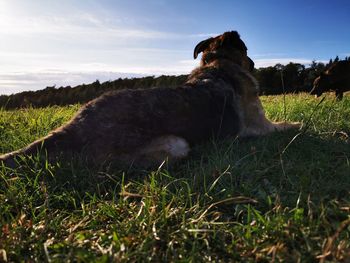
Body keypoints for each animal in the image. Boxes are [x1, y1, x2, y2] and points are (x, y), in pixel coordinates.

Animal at [0, 30, 300, 167]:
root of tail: (73, 127)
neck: (219, 64)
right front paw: (299, 125)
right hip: (175, 144)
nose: (253, 64)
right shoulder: (261, 126)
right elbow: (288, 125)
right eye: (247, 50)